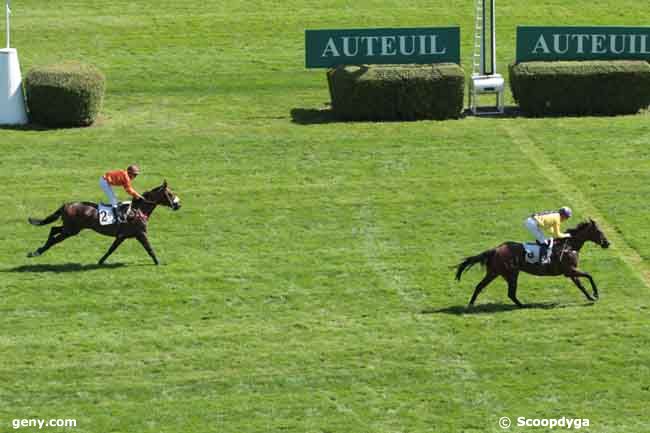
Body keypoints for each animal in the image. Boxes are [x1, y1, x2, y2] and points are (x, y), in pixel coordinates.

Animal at [26, 181, 180, 264]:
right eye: (170, 194)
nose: (178, 205)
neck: (138, 210)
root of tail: (67, 204)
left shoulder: (122, 236)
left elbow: (111, 249)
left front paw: (100, 261)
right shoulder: (140, 233)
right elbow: (149, 249)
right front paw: (158, 262)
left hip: (70, 228)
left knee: (53, 229)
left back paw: (38, 250)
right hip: (71, 230)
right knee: (55, 238)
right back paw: (37, 252)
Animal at [456, 219, 608, 308]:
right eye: (599, 231)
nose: (607, 243)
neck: (569, 245)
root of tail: (495, 249)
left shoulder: (570, 272)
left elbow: (581, 285)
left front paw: (590, 297)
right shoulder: (570, 270)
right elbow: (589, 276)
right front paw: (595, 294)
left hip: (495, 272)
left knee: (481, 286)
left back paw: (471, 304)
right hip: (510, 273)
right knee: (509, 293)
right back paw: (523, 305)